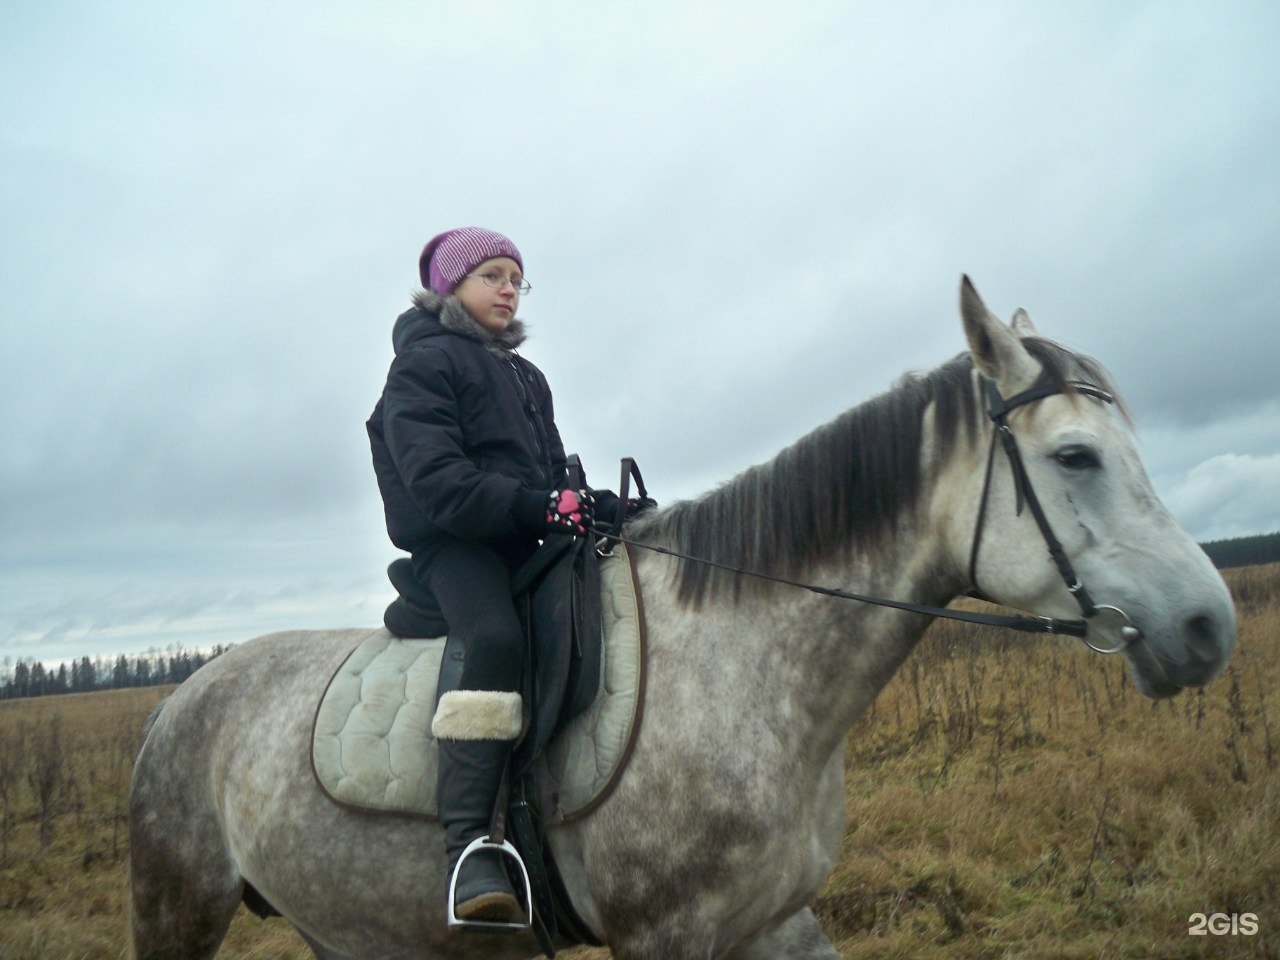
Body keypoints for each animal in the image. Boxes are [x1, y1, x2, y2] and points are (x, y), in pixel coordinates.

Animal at [127, 273, 1228, 957]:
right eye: (1075, 456)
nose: (1207, 628)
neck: (747, 673)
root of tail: (179, 699)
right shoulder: (671, 934)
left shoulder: (771, 920)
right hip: (174, 906)